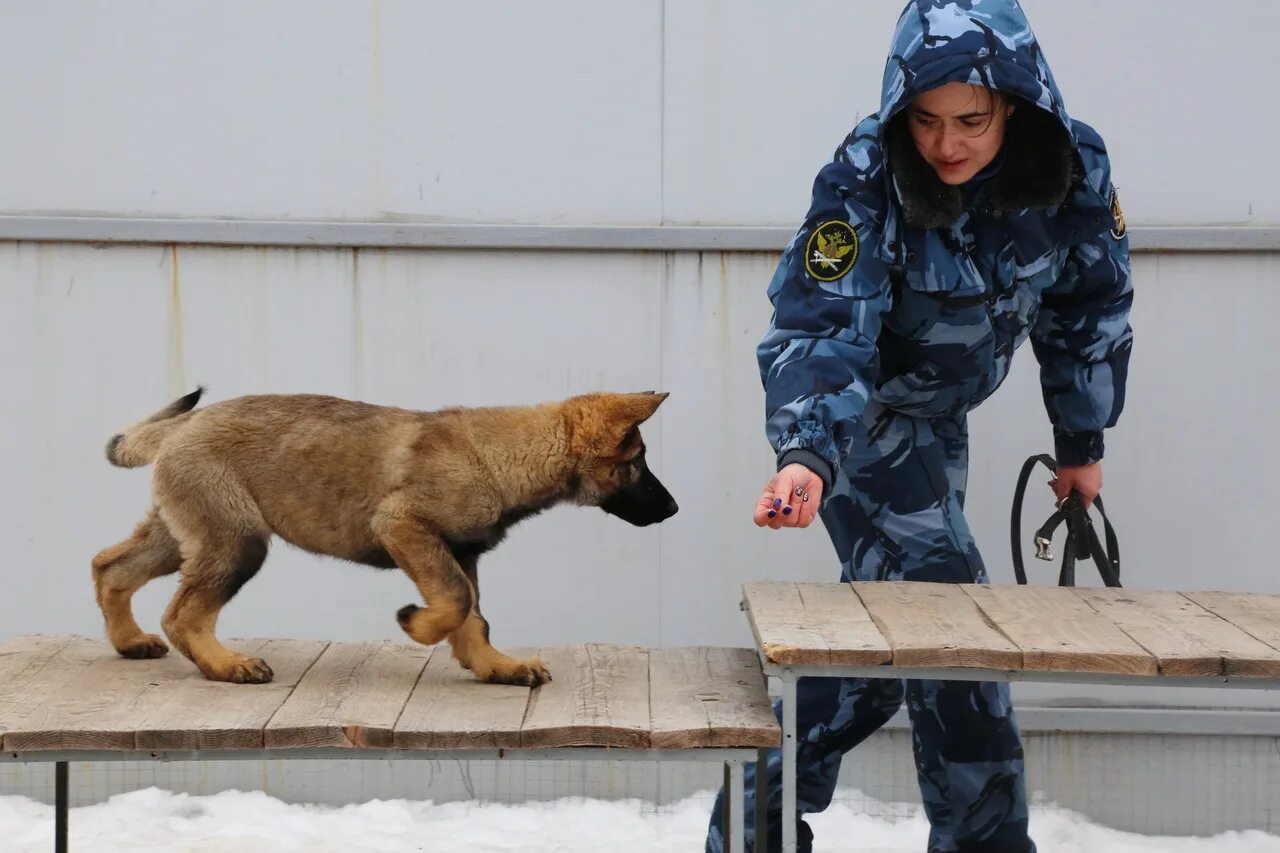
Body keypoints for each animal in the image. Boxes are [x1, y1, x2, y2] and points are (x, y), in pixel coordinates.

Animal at [91, 386, 680, 686]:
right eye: (636, 463)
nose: (674, 509)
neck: (501, 456)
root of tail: (180, 427)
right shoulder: (404, 527)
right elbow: (456, 602)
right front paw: (416, 625)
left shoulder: (461, 551)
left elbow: (473, 615)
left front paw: (494, 666)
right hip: (236, 541)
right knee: (182, 613)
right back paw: (224, 664)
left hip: (187, 532)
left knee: (110, 566)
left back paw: (129, 641)